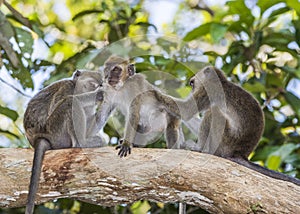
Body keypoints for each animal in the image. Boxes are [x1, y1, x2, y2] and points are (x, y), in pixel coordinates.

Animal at [24, 69, 107, 213]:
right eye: (93, 84)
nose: (99, 87)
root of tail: (37, 139)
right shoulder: (67, 87)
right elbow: (68, 100)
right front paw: (99, 95)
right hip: (55, 131)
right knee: (69, 102)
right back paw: (82, 143)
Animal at [152, 66, 300, 186]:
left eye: (193, 83)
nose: (191, 87)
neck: (221, 82)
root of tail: (240, 153)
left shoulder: (207, 92)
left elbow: (186, 110)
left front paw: (154, 92)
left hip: (226, 141)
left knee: (213, 112)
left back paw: (201, 149)